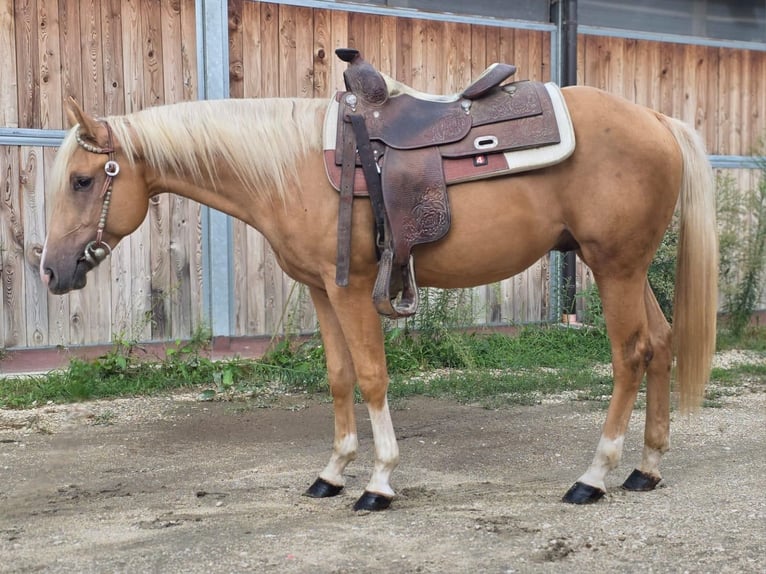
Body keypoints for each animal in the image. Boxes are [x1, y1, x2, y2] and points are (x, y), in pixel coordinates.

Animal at [39, 75, 717, 511]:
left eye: (82, 180)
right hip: (626, 267)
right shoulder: (322, 289)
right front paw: (332, 473)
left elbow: (371, 376)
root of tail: (658, 121)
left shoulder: (354, 289)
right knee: (660, 343)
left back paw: (594, 476)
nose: (51, 271)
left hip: (615, 267)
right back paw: (646, 469)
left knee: (630, 354)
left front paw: (379, 482)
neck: (294, 167)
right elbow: (339, 377)